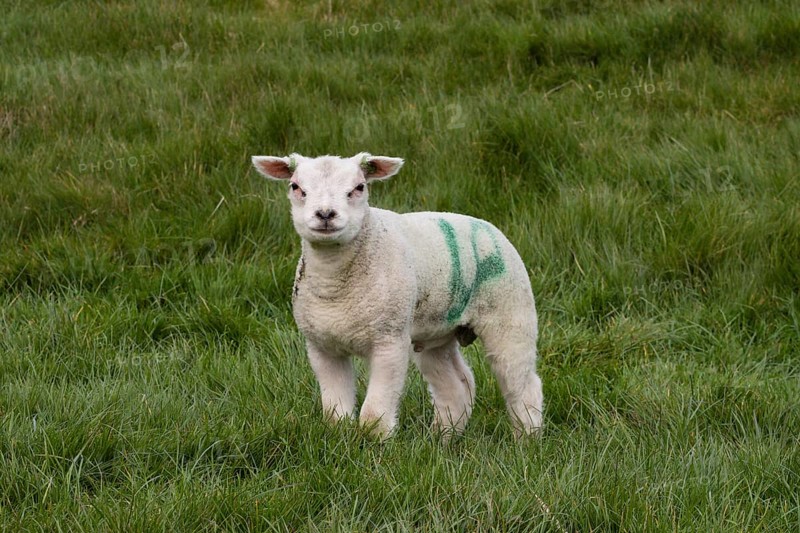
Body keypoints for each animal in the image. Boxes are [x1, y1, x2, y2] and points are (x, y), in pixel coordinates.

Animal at [252, 152, 543, 438]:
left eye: (359, 187)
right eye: (296, 187)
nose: (325, 214)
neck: (335, 286)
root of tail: (486, 224)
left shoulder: (389, 341)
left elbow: (373, 416)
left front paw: (376, 443)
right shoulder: (322, 346)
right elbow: (335, 413)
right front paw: (340, 436)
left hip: (511, 313)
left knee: (523, 383)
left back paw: (527, 438)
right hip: (437, 332)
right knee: (456, 384)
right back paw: (442, 438)